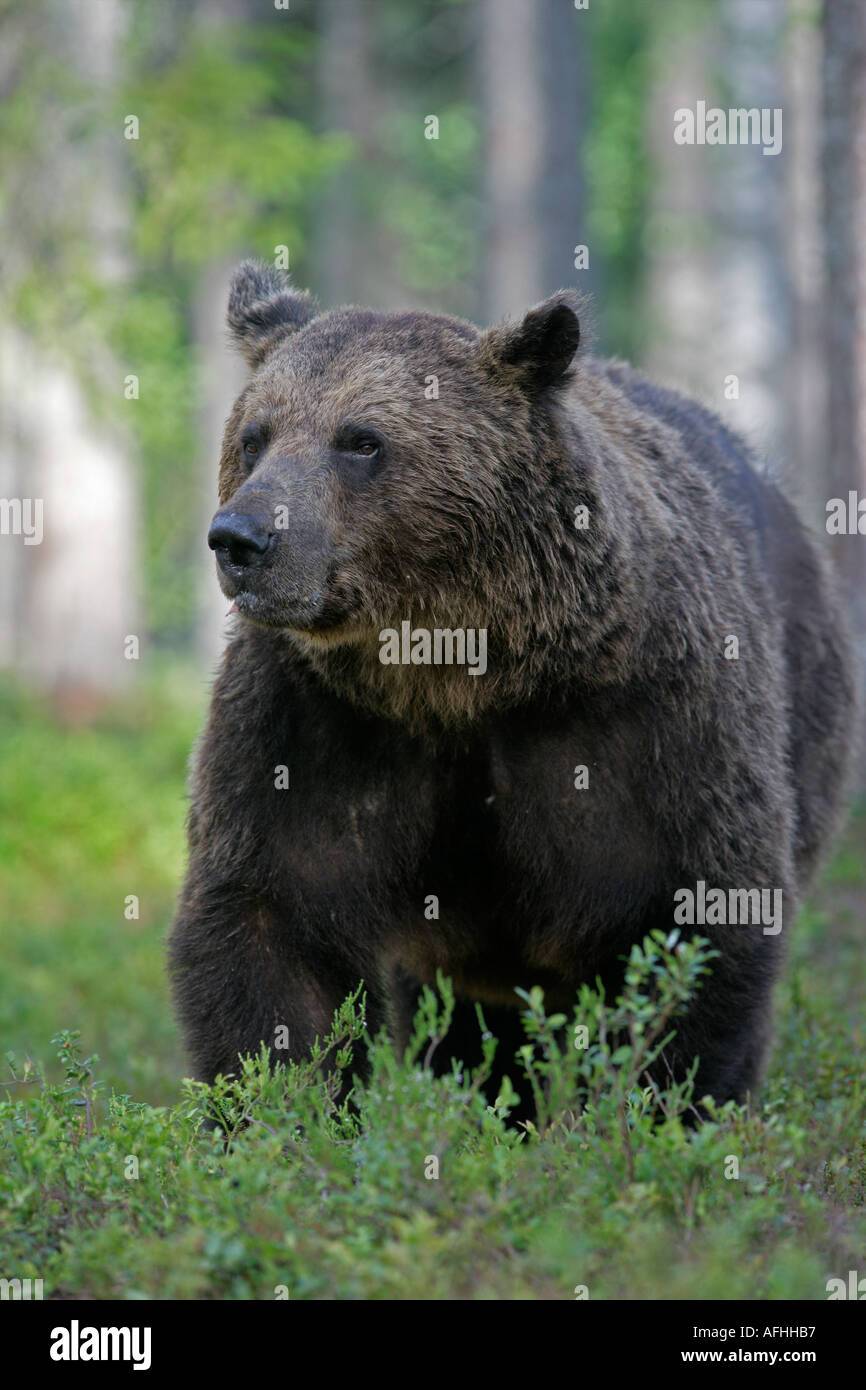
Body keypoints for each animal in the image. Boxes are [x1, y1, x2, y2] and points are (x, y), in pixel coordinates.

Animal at [168, 259, 859, 1115]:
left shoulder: (644, 720)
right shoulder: (315, 722)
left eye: (361, 440)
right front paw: (283, 1113)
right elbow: (273, 926)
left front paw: (659, 1106)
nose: (242, 538)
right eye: (255, 436)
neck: (460, 670)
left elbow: (693, 921)